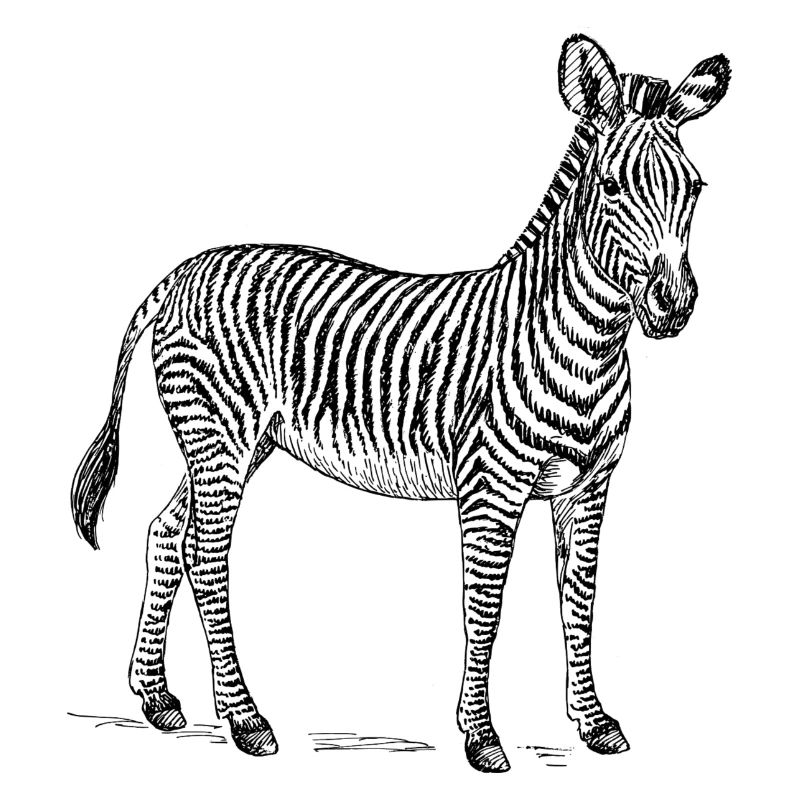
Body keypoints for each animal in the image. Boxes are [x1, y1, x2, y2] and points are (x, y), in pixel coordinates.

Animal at [71, 34, 730, 773]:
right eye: (612, 188)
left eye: (695, 189)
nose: (675, 307)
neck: (587, 345)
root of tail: (179, 274)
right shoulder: (491, 485)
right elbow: (485, 605)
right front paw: (481, 737)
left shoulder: (589, 487)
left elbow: (579, 603)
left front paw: (594, 724)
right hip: (221, 432)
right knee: (207, 553)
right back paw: (246, 721)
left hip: (236, 442)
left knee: (165, 534)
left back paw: (157, 699)